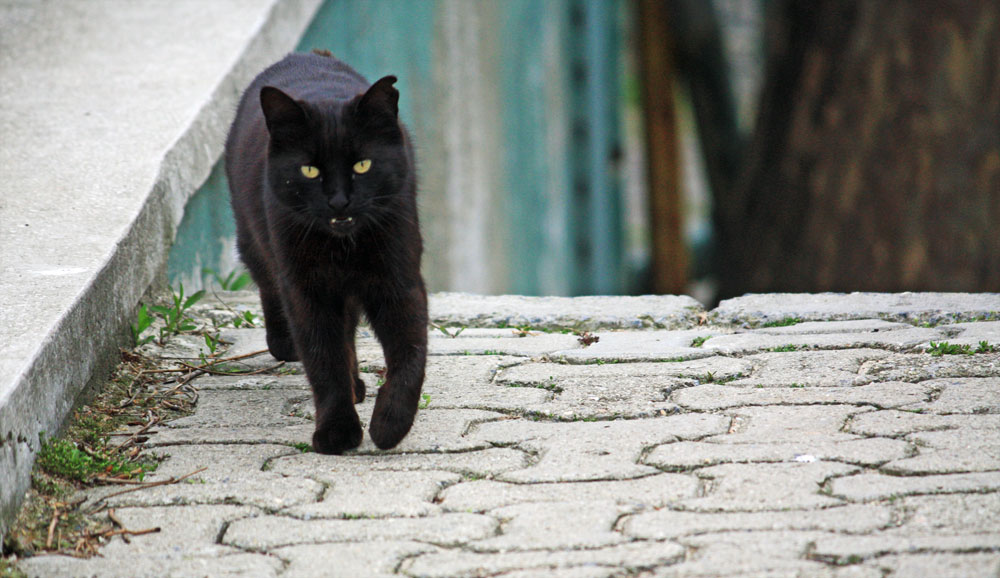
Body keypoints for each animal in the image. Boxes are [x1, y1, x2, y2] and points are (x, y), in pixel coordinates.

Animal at [225, 51, 428, 452]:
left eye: (362, 165)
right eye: (309, 170)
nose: (338, 200)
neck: (343, 247)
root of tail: (305, 55)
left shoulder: (399, 280)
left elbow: (410, 352)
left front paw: (390, 423)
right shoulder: (308, 290)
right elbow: (323, 359)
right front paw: (337, 430)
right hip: (255, 239)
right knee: (269, 285)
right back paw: (286, 345)